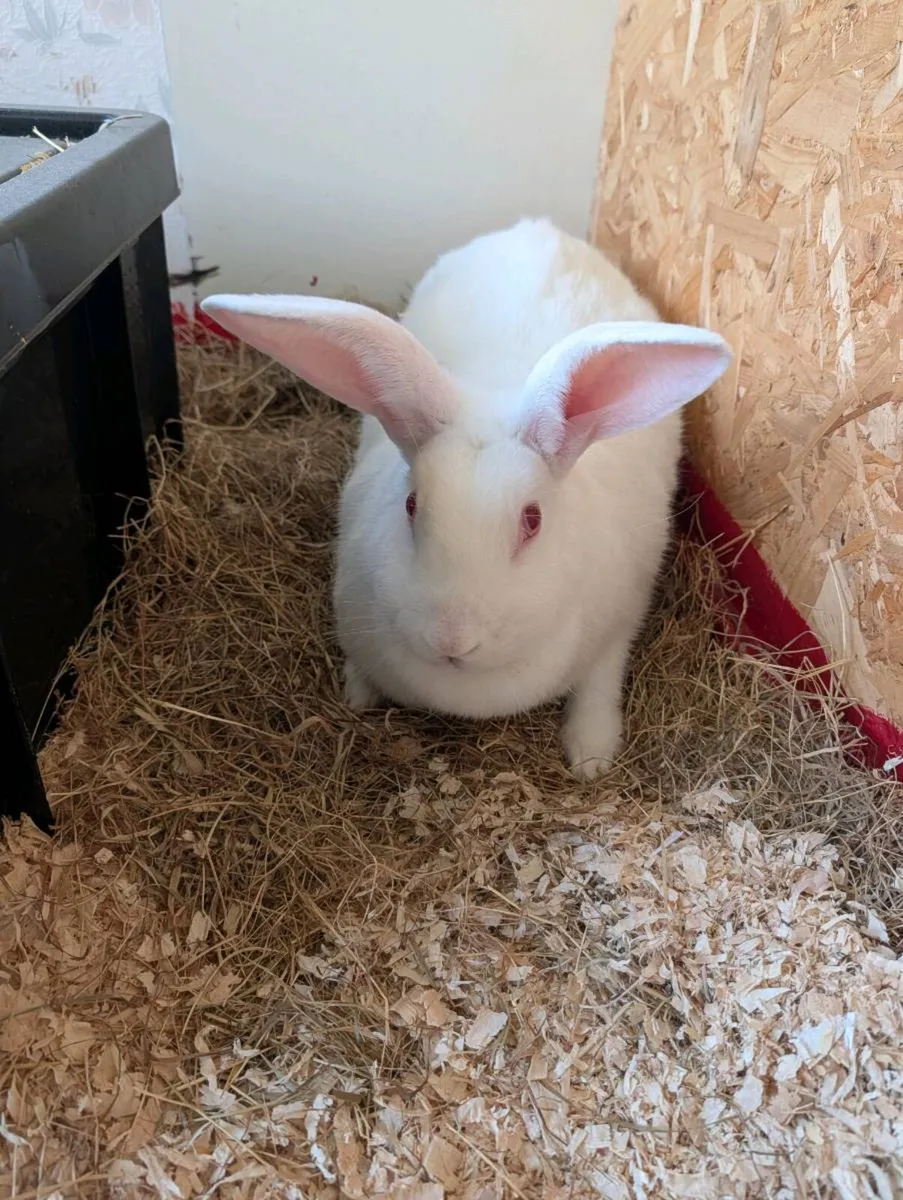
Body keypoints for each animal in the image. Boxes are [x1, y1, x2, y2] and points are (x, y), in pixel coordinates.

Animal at [202, 217, 731, 779]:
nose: (451, 640)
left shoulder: (618, 629)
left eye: (532, 520)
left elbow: (597, 690)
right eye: (411, 505)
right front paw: (357, 698)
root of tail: (537, 228)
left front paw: (591, 758)